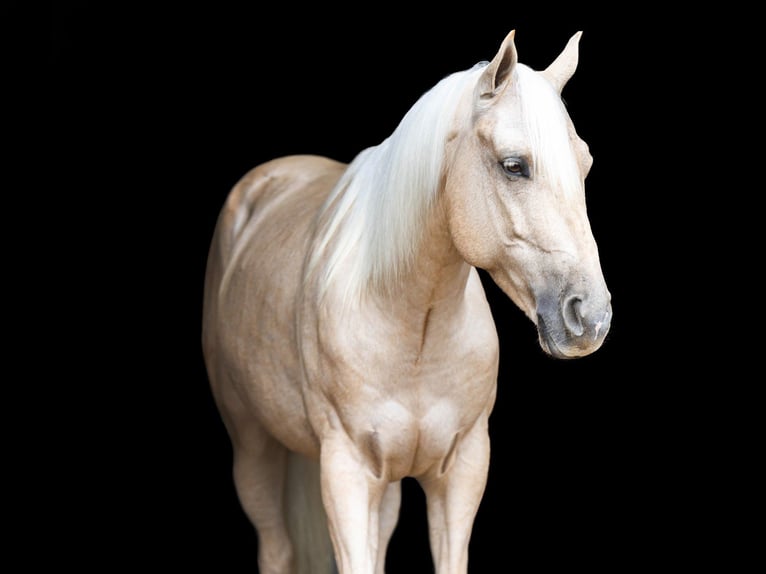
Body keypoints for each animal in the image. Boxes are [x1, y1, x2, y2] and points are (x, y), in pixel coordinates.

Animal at [202, 29, 612, 574]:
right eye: (514, 165)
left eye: (584, 164)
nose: (591, 315)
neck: (412, 325)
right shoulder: (347, 474)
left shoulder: (461, 472)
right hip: (253, 447)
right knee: (275, 547)